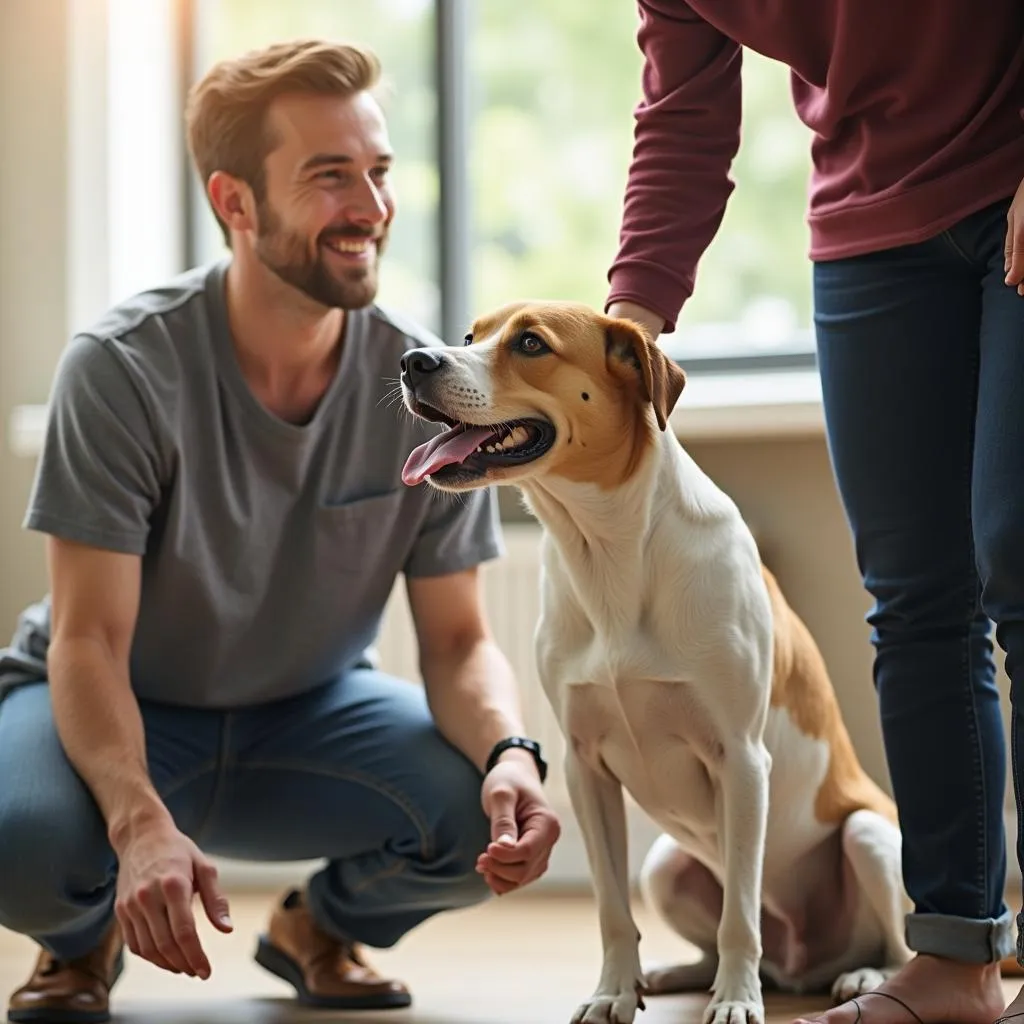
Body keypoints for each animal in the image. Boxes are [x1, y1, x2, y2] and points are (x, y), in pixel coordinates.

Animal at [397, 303, 913, 1024]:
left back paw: (862, 977)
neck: (609, 551)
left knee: (887, 941)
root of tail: (803, 964)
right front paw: (614, 990)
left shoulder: (741, 759)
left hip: (869, 837)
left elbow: (739, 918)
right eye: (471, 336)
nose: (414, 361)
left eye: (530, 343)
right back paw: (673, 975)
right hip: (665, 867)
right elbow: (614, 911)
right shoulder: (586, 768)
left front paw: (735, 1000)